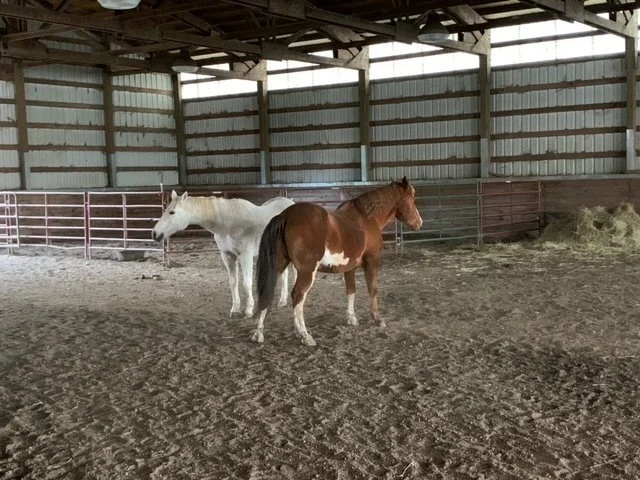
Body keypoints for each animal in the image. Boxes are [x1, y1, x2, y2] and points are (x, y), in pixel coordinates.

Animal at [152, 190, 295, 318]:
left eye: (172, 212)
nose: (154, 233)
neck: (230, 223)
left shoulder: (245, 255)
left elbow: (246, 283)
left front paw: (249, 310)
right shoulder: (227, 255)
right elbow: (233, 282)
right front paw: (235, 309)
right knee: (285, 273)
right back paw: (282, 301)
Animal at [253, 177, 423, 346]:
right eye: (412, 197)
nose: (419, 222)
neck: (367, 218)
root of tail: (285, 215)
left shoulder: (349, 268)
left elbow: (351, 291)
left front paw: (352, 319)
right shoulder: (371, 262)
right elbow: (373, 290)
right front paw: (377, 319)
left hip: (278, 265)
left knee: (266, 293)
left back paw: (258, 333)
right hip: (307, 271)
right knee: (297, 296)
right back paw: (304, 335)